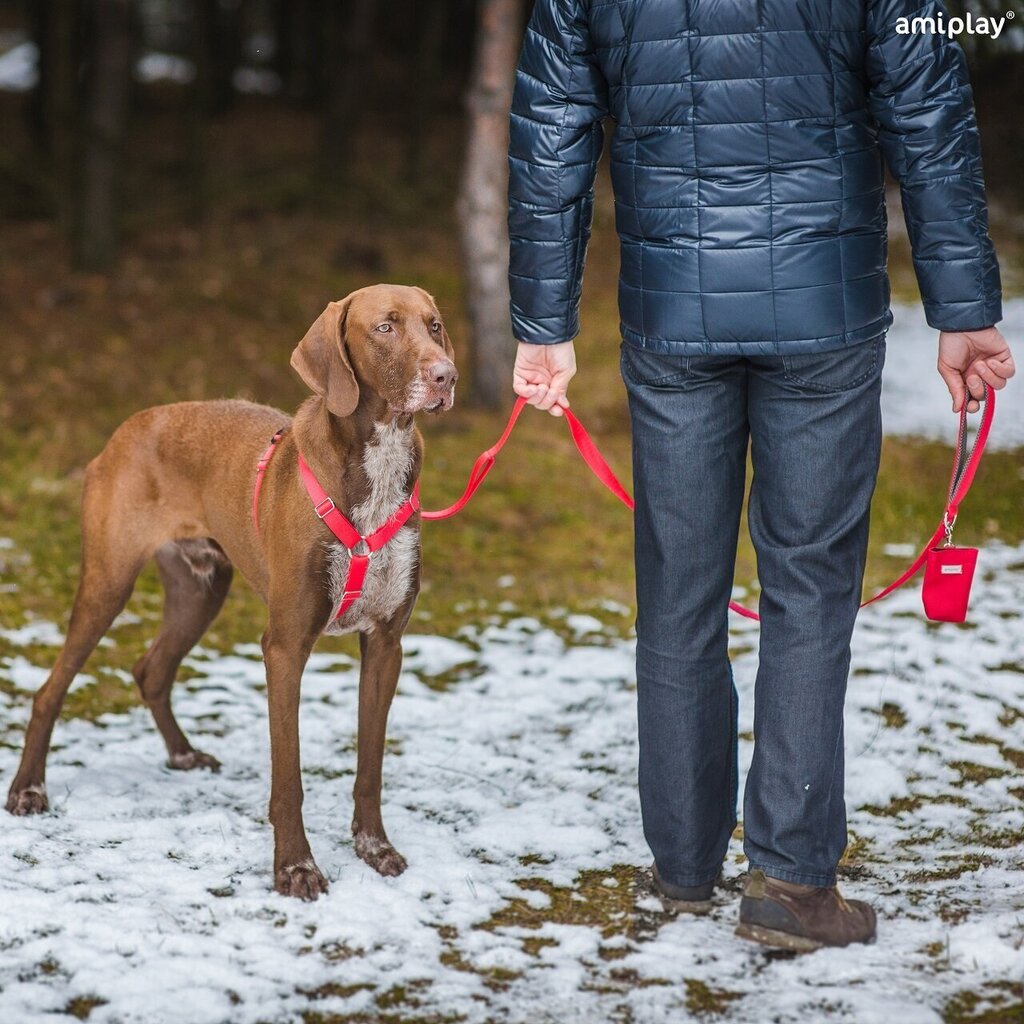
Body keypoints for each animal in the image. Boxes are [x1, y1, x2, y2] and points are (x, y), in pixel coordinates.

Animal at [3, 284, 460, 901]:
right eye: (384, 327)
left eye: (434, 326)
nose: (446, 376)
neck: (376, 464)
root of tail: (125, 429)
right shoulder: (286, 647)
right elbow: (288, 779)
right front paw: (295, 868)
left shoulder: (386, 643)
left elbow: (370, 767)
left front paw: (374, 847)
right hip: (108, 582)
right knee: (50, 689)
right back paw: (28, 789)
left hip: (201, 592)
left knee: (151, 670)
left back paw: (181, 753)